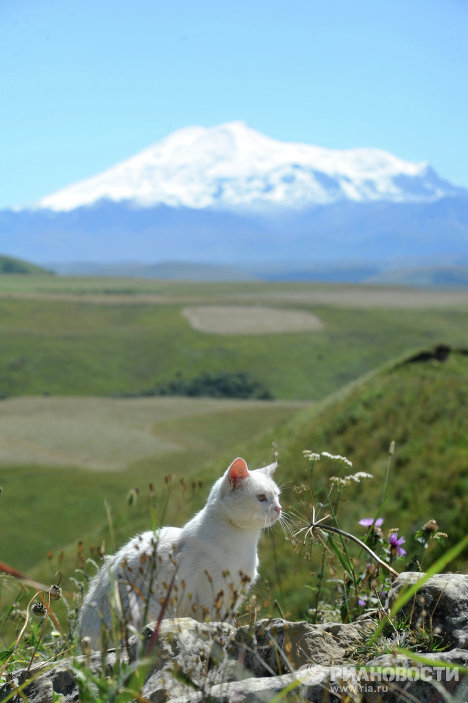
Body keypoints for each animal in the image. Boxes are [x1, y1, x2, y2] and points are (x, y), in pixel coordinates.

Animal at [78, 456, 282, 648]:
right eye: (261, 497)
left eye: (277, 496)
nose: (278, 508)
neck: (244, 541)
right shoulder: (211, 596)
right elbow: (216, 621)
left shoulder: (233, 597)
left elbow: (229, 621)